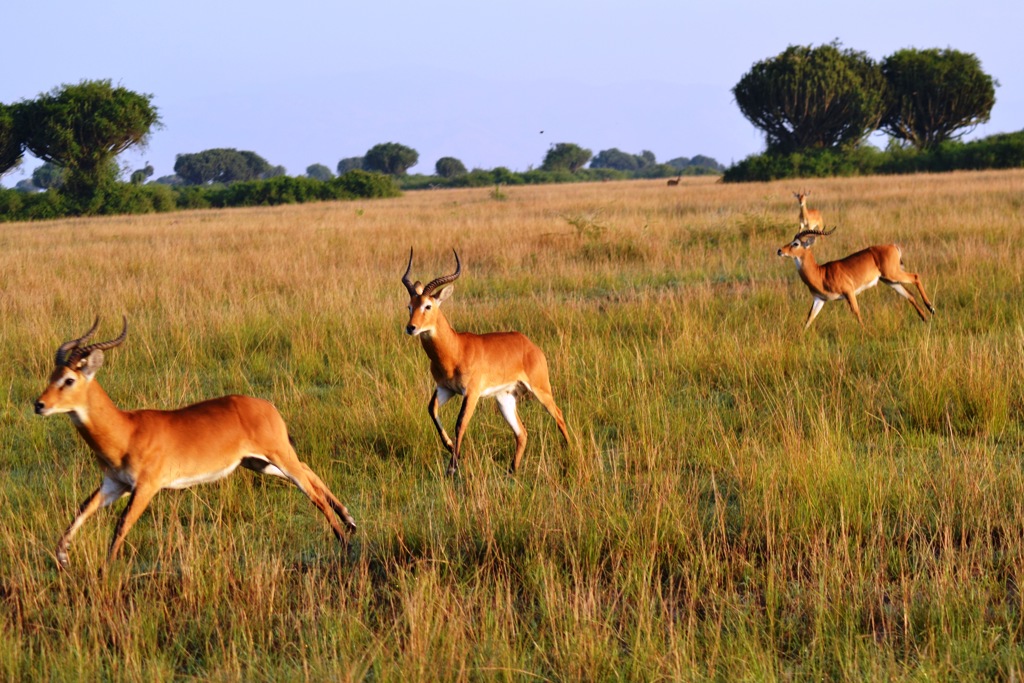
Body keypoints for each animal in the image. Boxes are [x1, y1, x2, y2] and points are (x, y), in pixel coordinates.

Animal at [34, 317, 356, 569]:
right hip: (258, 463)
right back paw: (349, 521)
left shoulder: (146, 487)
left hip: (276, 455)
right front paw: (62, 557)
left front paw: (104, 570)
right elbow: (82, 510)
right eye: (52, 375)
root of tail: (267, 405)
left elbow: (121, 524)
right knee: (308, 470)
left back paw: (344, 540)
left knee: (310, 489)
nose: (39, 405)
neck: (127, 430)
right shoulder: (114, 485)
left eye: (69, 380)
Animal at [401, 249, 570, 475]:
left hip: (540, 389)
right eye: (410, 306)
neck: (455, 349)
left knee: (558, 414)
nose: (411, 328)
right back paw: (512, 470)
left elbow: (460, 424)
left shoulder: (471, 392)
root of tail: (530, 345)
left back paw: (569, 452)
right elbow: (431, 409)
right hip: (504, 398)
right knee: (522, 432)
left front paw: (452, 468)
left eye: (428, 306)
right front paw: (451, 448)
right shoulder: (445, 389)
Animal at [777, 226, 936, 330]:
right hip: (890, 280)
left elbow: (856, 311)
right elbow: (809, 318)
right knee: (909, 295)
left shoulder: (849, 292)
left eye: (796, 243)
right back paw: (925, 318)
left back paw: (931, 308)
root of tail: (893, 246)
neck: (821, 273)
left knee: (915, 276)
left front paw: (865, 331)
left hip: (893, 274)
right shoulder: (819, 299)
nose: (779, 250)